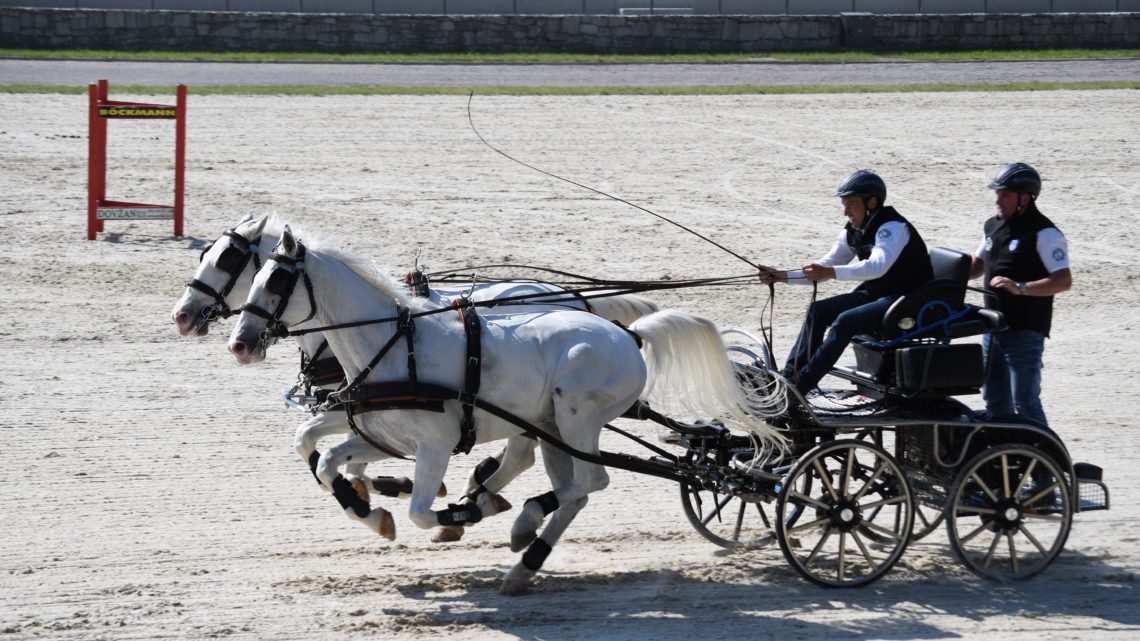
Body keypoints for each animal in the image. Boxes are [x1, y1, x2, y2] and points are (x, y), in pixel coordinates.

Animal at [228, 225, 788, 593]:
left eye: (275, 283)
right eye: (252, 279)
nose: (240, 343)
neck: (394, 346)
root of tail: (628, 335)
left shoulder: (435, 445)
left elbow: (418, 511)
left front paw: (461, 509)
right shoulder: (381, 434)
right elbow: (324, 458)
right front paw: (374, 510)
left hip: (575, 417)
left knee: (589, 481)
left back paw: (520, 531)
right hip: (551, 425)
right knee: (573, 488)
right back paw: (523, 549)